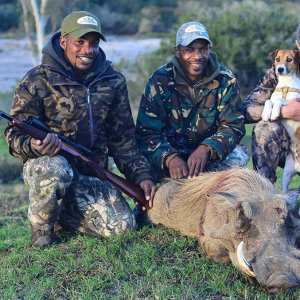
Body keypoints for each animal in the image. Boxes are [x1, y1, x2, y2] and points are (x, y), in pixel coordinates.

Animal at [260, 48, 300, 191]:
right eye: (277, 59)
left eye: (289, 59)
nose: (280, 69)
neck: (285, 86)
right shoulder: (271, 99)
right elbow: (268, 101)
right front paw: (267, 113)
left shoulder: (295, 101)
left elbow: (279, 101)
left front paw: (274, 113)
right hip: (287, 173)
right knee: (284, 190)